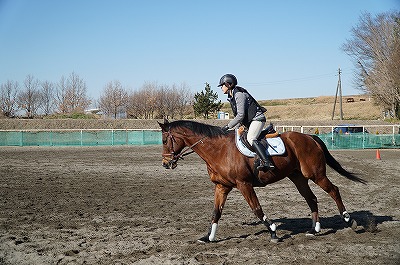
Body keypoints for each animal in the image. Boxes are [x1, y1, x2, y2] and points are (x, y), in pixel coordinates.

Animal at [158, 118, 364, 242]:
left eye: (164, 141)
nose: (165, 164)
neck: (218, 150)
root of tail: (310, 137)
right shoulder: (222, 186)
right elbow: (216, 212)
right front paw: (208, 237)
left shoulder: (244, 185)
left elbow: (256, 209)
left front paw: (272, 230)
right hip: (298, 177)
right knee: (311, 199)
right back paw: (315, 229)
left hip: (316, 175)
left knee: (334, 191)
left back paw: (349, 220)